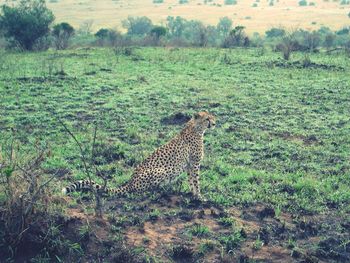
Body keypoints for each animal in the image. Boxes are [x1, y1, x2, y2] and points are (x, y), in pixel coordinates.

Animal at [63, 111, 216, 200]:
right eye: (207, 119)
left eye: (213, 118)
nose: (214, 123)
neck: (196, 128)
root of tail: (131, 182)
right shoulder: (194, 164)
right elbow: (196, 181)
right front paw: (200, 196)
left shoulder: (190, 165)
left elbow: (191, 181)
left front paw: (194, 195)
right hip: (163, 170)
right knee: (143, 190)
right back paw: (160, 191)